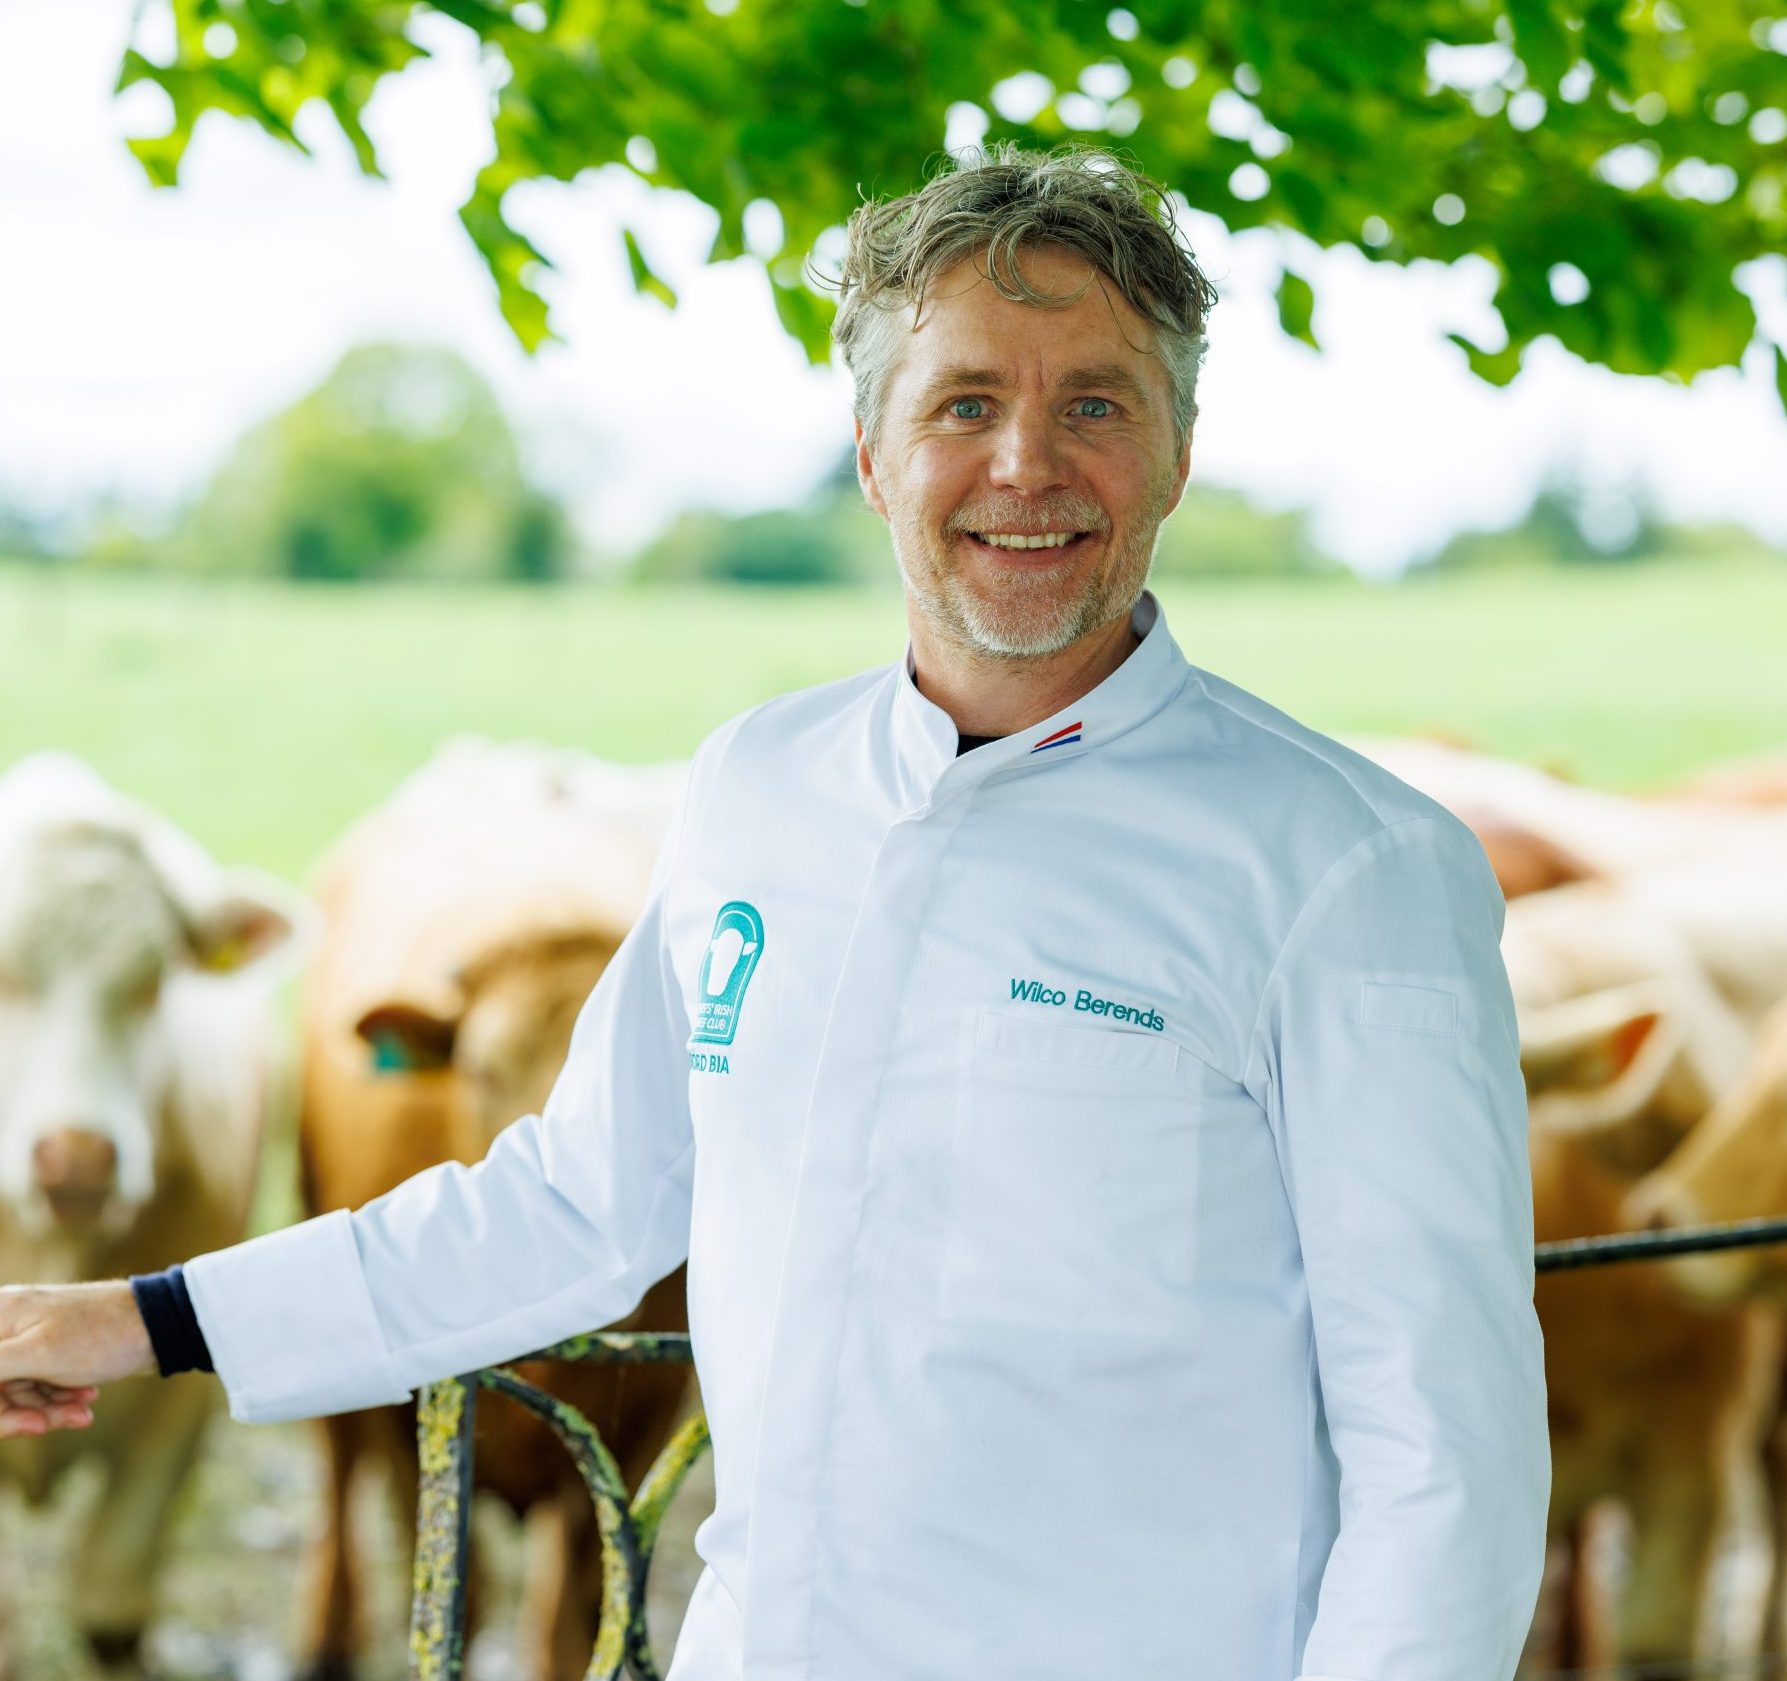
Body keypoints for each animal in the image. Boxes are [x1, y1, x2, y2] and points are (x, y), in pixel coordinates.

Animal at [296, 743, 693, 1679]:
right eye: (479, 1067)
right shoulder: (412, 1424)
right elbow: (459, 1596)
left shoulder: (644, 1422)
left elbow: (579, 1617)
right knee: (335, 1470)